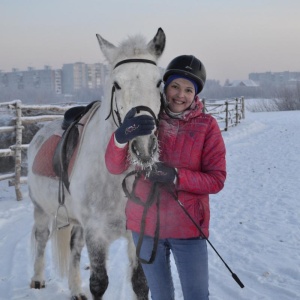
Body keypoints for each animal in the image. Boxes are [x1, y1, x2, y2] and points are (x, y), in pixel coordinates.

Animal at [27, 28, 166, 300]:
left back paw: (75, 289)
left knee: (74, 248)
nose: (143, 146)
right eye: (116, 84)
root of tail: (40, 132)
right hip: (41, 208)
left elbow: (140, 284)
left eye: (158, 82)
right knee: (41, 238)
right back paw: (37, 279)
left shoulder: (136, 235)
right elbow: (99, 284)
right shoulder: (96, 233)